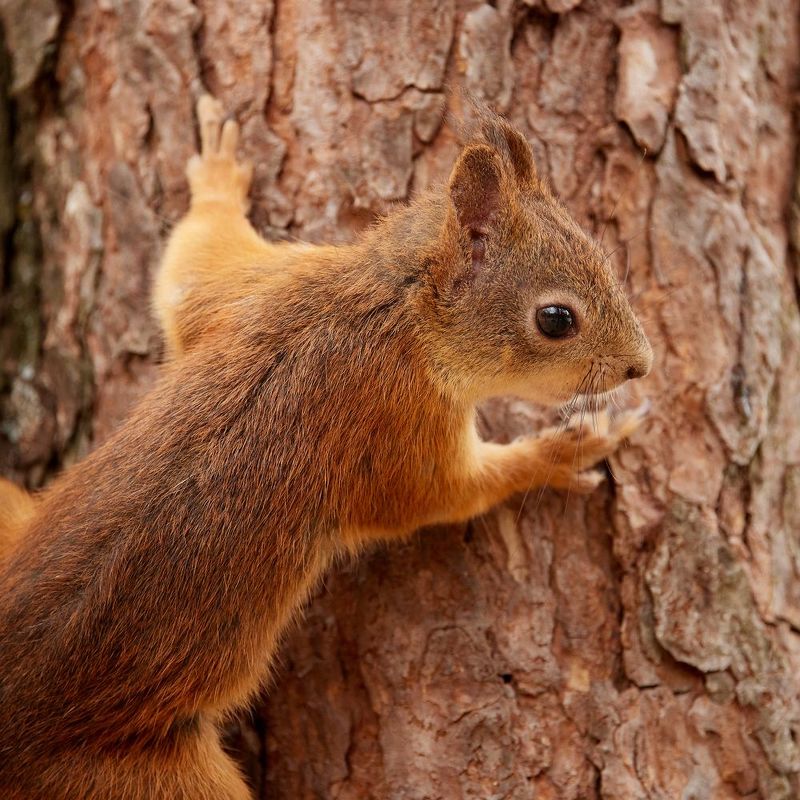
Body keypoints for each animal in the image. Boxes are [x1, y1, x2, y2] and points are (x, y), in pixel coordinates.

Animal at [0, 95, 652, 799]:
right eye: (556, 320)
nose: (640, 365)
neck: (389, 306)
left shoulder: (262, 286)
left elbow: (190, 273)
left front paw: (218, 173)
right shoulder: (398, 421)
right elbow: (439, 496)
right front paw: (562, 450)